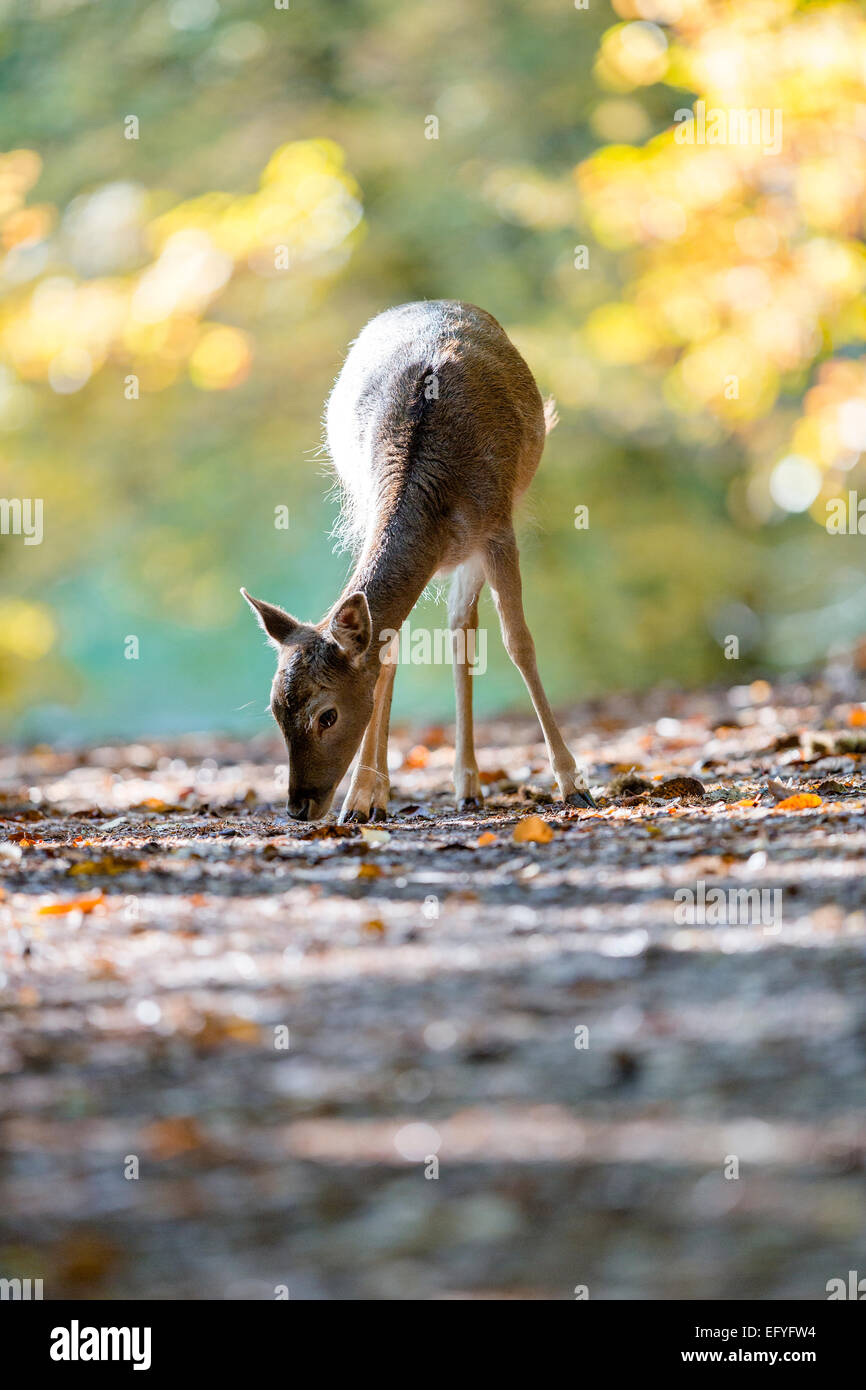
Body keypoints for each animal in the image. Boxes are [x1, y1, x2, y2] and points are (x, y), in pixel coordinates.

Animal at [241, 298, 594, 817]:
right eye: (274, 710)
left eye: (327, 715)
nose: (298, 807)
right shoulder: (366, 516)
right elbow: (385, 654)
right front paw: (363, 800)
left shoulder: (497, 527)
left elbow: (519, 643)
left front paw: (573, 784)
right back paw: (442, 787)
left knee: (462, 627)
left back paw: (469, 783)